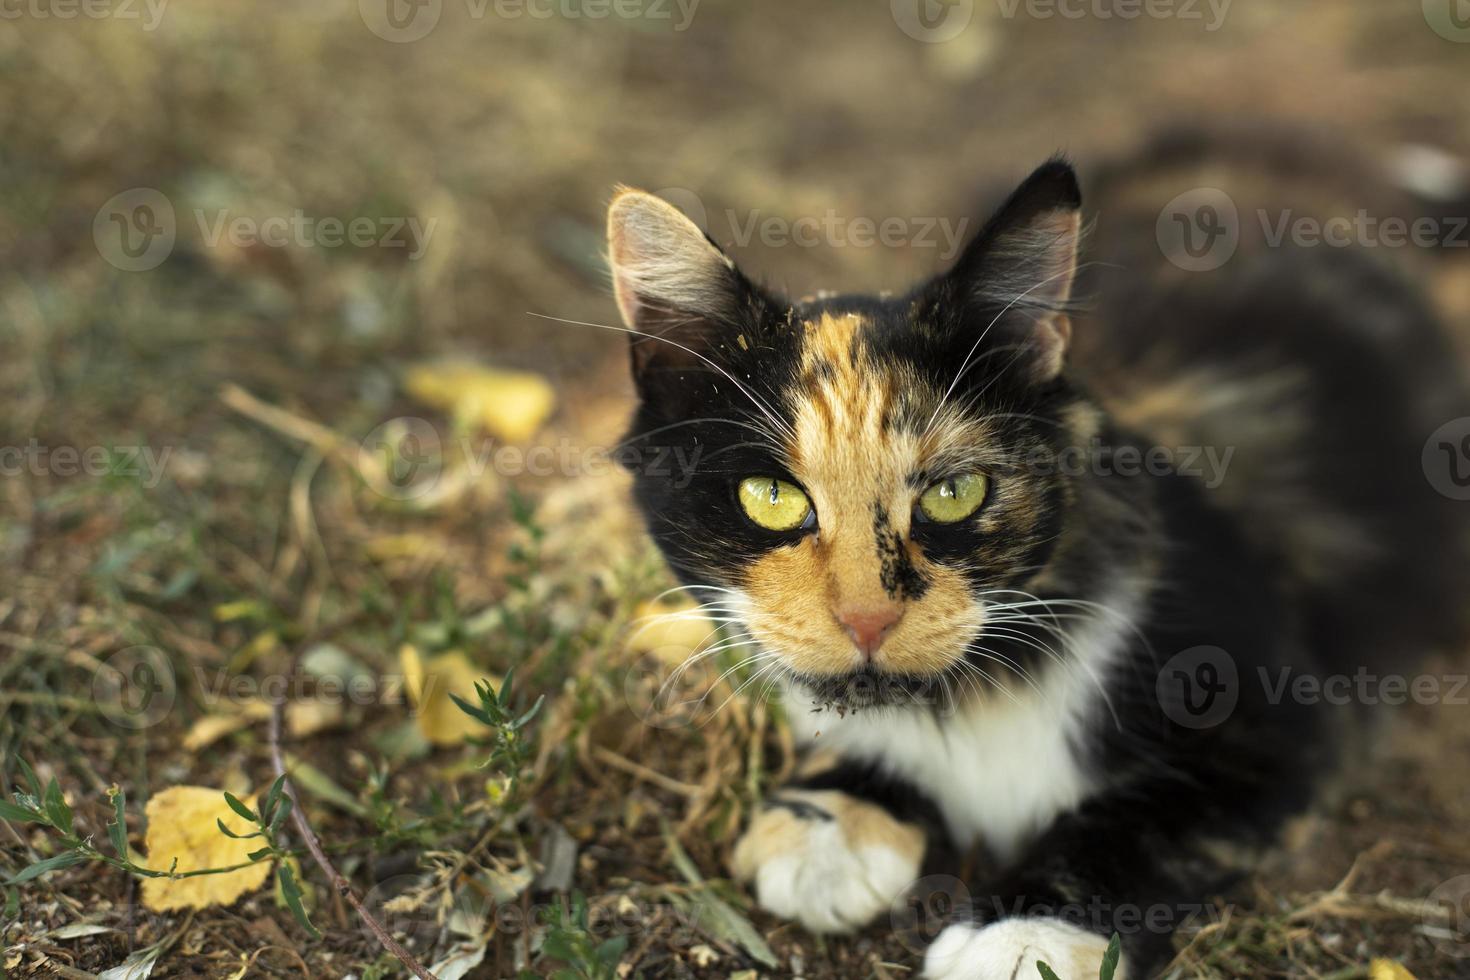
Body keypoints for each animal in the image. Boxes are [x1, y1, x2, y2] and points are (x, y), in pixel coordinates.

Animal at [599, 132, 1470, 980]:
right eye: (770, 498)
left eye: (955, 493)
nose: (867, 621)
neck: (985, 696)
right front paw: (828, 820)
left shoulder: (1281, 722)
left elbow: (1137, 821)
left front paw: (1025, 935)